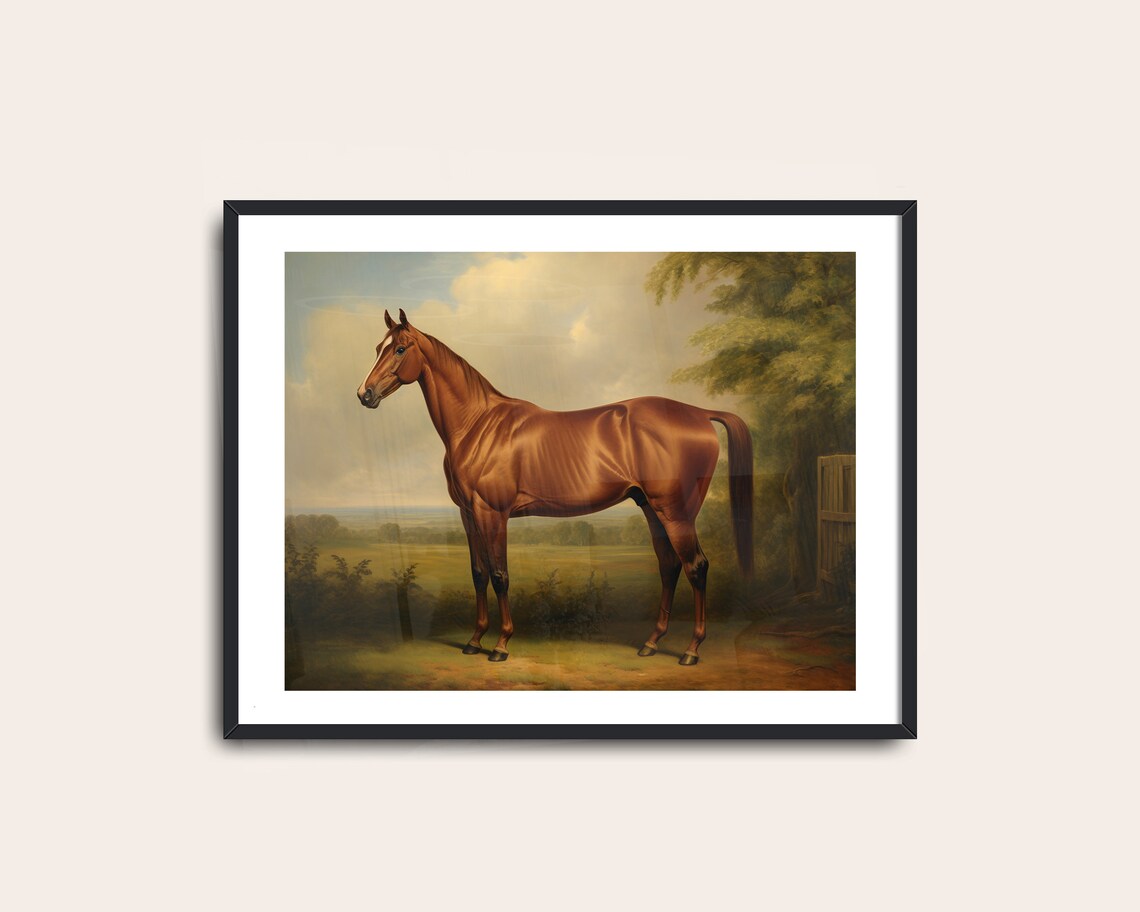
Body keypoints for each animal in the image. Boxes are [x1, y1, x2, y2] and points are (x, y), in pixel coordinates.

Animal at [357, 308, 753, 666]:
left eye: (400, 349)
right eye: (377, 347)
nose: (364, 394)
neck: (477, 425)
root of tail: (698, 413)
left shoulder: (492, 513)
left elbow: (500, 575)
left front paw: (500, 645)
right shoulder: (468, 514)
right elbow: (478, 574)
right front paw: (473, 641)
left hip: (676, 513)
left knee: (696, 567)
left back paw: (691, 650)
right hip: (652, 509)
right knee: (669, 567)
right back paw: (651, 643)